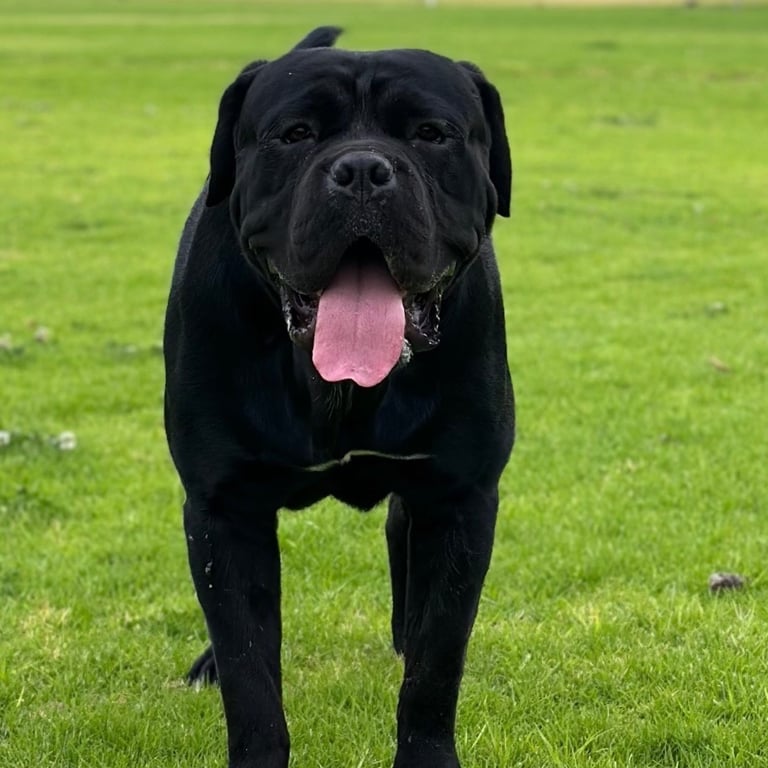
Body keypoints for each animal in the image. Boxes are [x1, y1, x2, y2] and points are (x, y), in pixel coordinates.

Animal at [164, 26, 514, 768]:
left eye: (431, 133)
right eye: (294, 133)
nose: (360, 171)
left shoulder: (461, 497)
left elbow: (437, 667)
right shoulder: (222, 506)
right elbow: (249, 667)